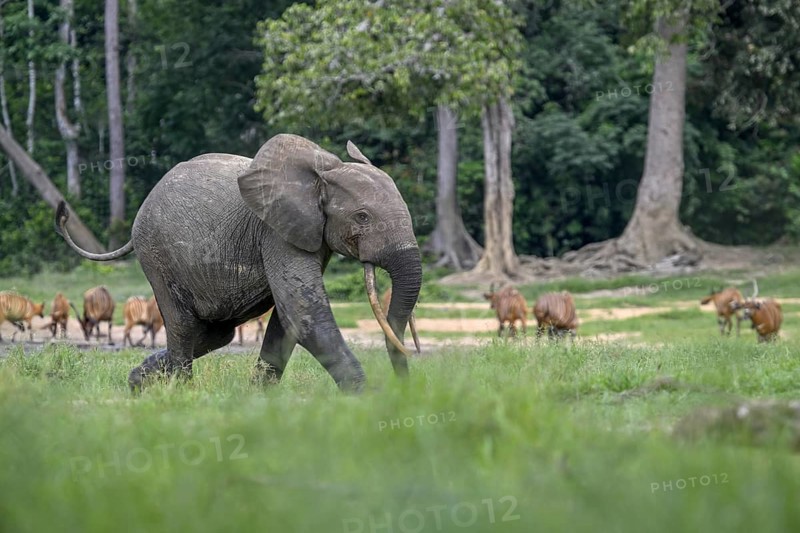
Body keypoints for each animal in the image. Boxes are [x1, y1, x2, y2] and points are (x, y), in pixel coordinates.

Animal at [56, 134, 422, 392]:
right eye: (362, 217)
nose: (408, 389)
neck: (322, 174)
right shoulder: (274, 231)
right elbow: (303, 312)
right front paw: (367, 399)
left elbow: (287, 320)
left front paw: (260, 397)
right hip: (157, 254)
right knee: (184, 326)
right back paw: (180, 393)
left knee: (216, 334)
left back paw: (137, 382)